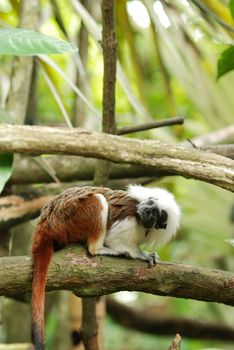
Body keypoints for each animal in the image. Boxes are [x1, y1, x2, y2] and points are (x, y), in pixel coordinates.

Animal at [31, 185, 181, 348]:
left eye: (156, 215)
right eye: (151, 206)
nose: (147, 211)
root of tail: (46, 222)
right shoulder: (129, 218)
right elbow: (114, 239)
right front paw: (140, 254)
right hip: (71, 219)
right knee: (98, 201)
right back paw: (101, 249)